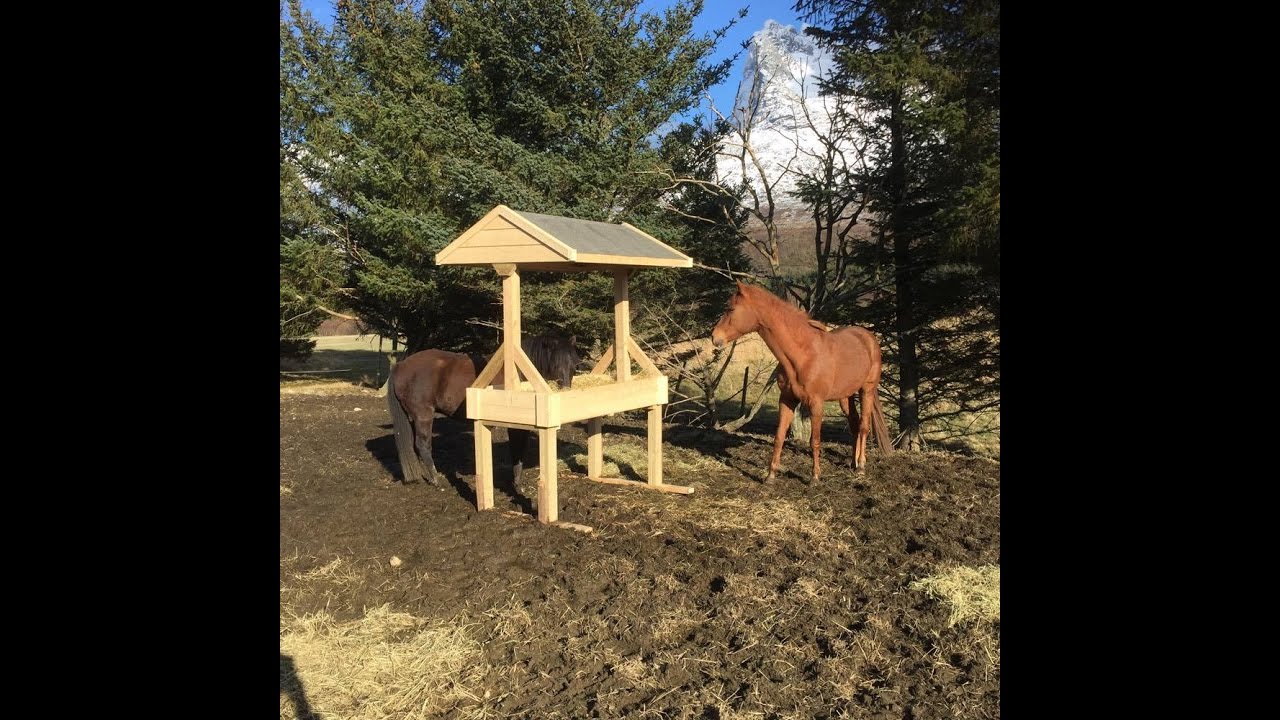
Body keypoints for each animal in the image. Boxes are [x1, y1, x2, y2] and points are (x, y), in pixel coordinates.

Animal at [386, 335, 580, 487]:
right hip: (423, 415)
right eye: (556, 363)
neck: (519, 371)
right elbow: (516, 450)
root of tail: (400, 366)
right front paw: (516, 483)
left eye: (574, 364)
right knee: (423, 445)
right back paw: (435, 480)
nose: (566, 389)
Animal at [711, 281, 893, 483]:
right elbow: (779, 437)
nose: (714, 337)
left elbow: (815, 440)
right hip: (845, 396)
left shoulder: (816, 403)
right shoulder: (787, 400)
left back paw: (860, 466)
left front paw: (815, 477)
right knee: (854, 424)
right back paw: (853, 463)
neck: (803, 354)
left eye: (731, 309)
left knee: (863, 426)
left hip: (866, 390)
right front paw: (770, 476)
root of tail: (869, 338)